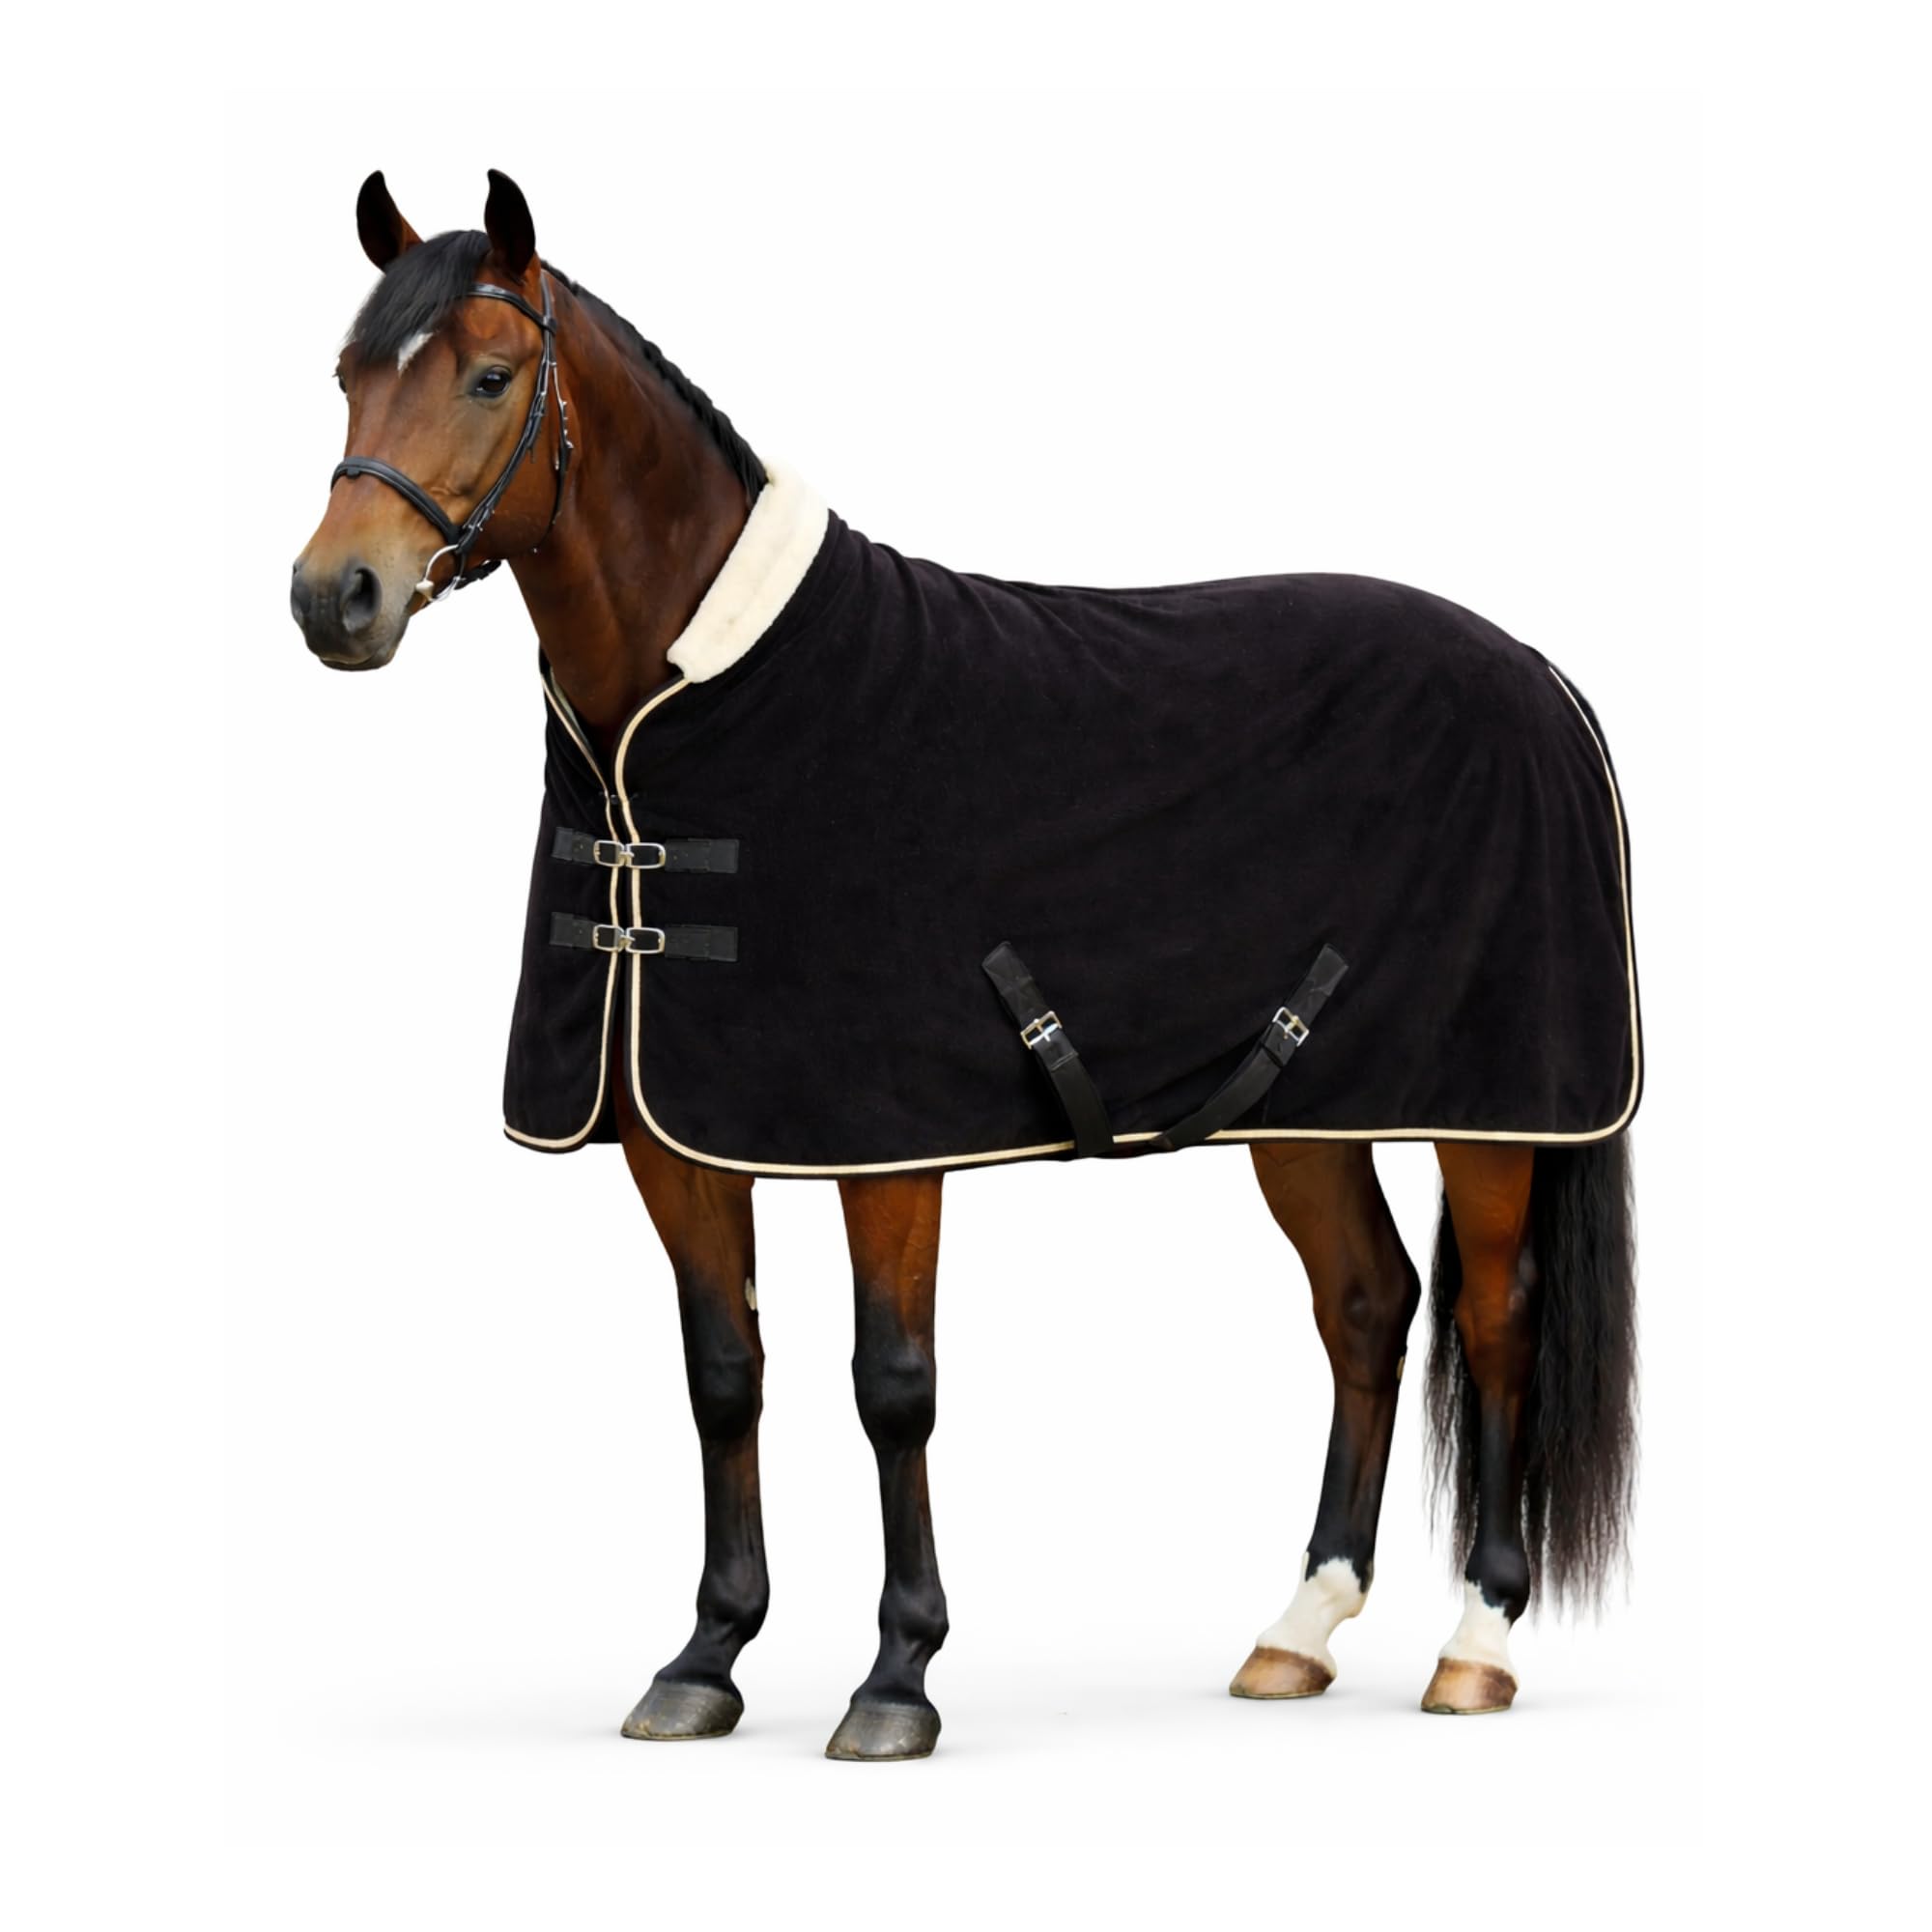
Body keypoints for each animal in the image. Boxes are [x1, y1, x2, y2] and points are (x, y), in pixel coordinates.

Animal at [290, 170, 1639, 1761]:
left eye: (491, 377)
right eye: (347, 373)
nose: (334, 598)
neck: (686, 720)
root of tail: (1538, 675)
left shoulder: (887, 1150)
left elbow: (895, 1386)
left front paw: (897, 1675)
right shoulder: (672, 1134)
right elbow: (722, 1375)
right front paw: (706, 1656)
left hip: (1490, 1118)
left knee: (1494, 1321)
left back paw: (1477, 1641)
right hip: (1306, 1108)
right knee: (1366, 1307)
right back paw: (1296, 1630)